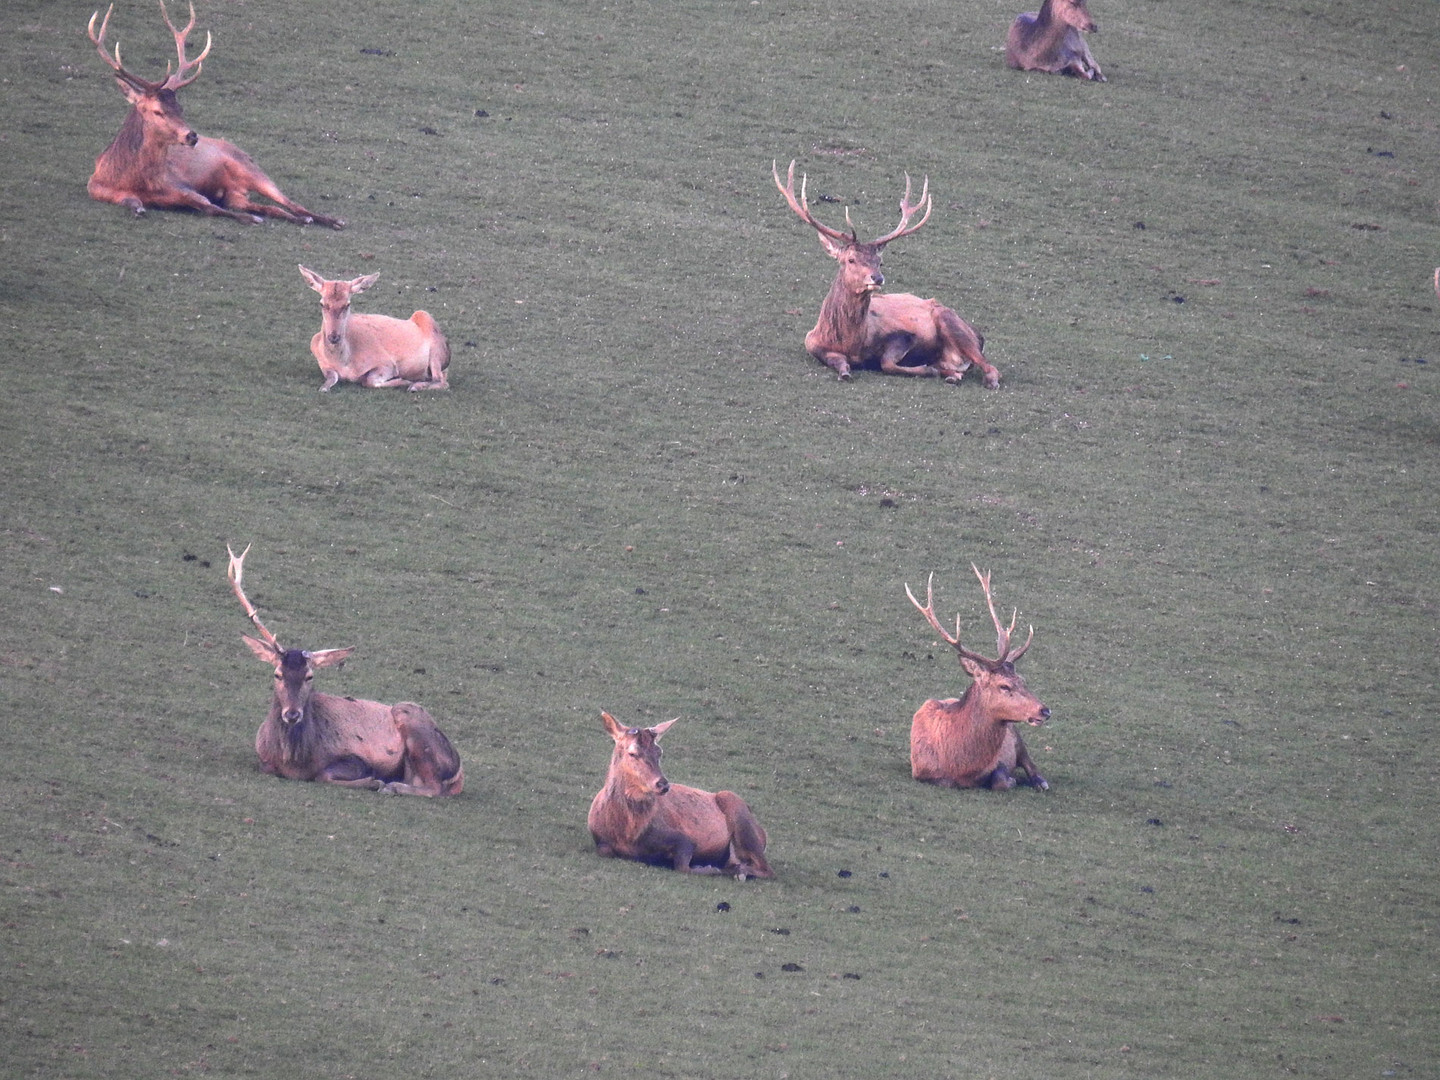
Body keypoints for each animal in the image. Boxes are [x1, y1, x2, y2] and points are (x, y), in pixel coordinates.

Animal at [87, 3, 345, 228]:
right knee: (268, 207)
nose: (192, 136)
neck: (132, 178)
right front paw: (138, 208)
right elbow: (134, 202)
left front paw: (250, 220)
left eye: (180, 107)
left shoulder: (182, 187)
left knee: (289, 203)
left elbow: (209, 207)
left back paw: (330, 220)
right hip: (235, 194)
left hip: (249, 167)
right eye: (157, 111)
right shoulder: (98, 189)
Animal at [226, 550, 460, 794]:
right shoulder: (263, 760)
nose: (292, 714)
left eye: (309, 676)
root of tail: (458, 767)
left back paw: (392, 786)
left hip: (412, 721)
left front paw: (374, 781)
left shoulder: (357, 757)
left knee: (434, 787)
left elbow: (324, 774)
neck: (294, 761)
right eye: (277, 674)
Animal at [584, 711, 771, 881]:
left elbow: (683, 866)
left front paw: (708, 868)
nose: (663, 784)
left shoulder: (683, 839)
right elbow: (605, 850)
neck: (628, 834)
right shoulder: (600, 839)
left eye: (659, 752)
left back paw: (738, 871)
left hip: (737, 809)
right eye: (632, 753)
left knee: (767, 870)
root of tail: (763, 834)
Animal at [904, 570, 1054, 789]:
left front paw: (1012, 779)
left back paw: (1039, 782)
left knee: (1029, 762)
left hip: (1016, 735)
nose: (1045, 710)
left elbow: (1000, 779)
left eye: (1023, 680)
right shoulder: (922, 772)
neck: (960, 765)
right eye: (1004, 686)